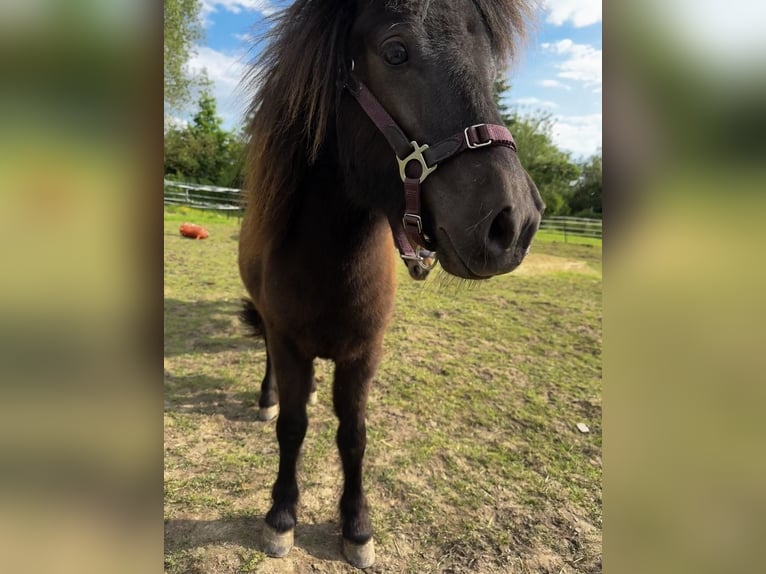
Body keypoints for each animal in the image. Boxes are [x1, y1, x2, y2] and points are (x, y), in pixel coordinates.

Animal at [237, 0, 544, 568]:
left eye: (488, 61)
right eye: (395, 51)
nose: (515, 222)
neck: (330, 265)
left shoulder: (364, 352)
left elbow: (353, 434)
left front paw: (357, 527)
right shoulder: (288, 342)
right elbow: (291, 427)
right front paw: (281, 517)